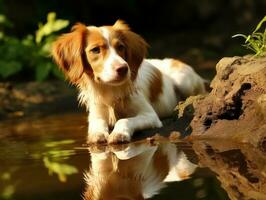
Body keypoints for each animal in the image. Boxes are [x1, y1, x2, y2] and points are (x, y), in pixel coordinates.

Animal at [52, 19, 206, 143]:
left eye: (121, 47)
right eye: (95, 50)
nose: (123, 69)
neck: (110, 90)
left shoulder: (150, 116)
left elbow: (124, 120)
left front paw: (119, 134)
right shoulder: (96, 113)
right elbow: (97, 125)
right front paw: (97, 135)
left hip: (184, 81)